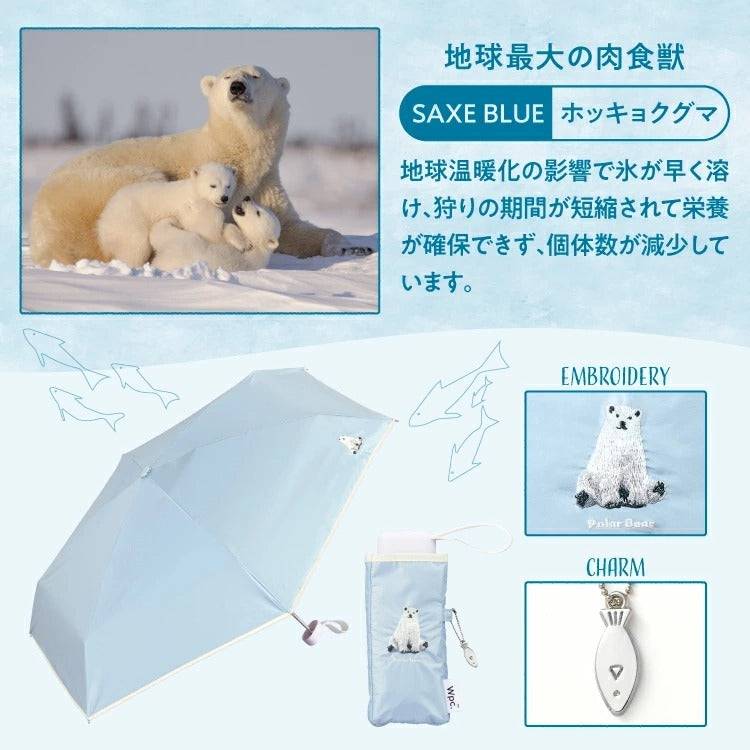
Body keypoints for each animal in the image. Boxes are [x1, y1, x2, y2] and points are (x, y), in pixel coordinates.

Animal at [96, 162, 237, 268]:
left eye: (228, 185)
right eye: (213, 185)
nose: (224, 198)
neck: (194, 192)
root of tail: (103, 220)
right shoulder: (191, 209)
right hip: (129, 220)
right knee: (135, 248)